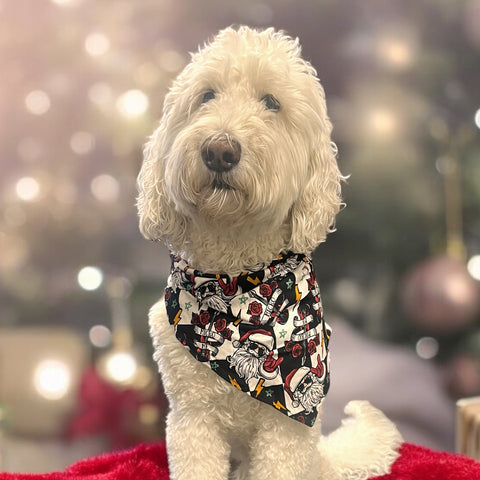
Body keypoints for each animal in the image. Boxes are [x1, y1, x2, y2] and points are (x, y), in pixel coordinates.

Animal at [136, 25, 402, 480]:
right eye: (207, 95)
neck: (235, 278)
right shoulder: (193, 416)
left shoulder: (286, 431)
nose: (219, 150)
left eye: (272, 103)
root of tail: (325, 461)